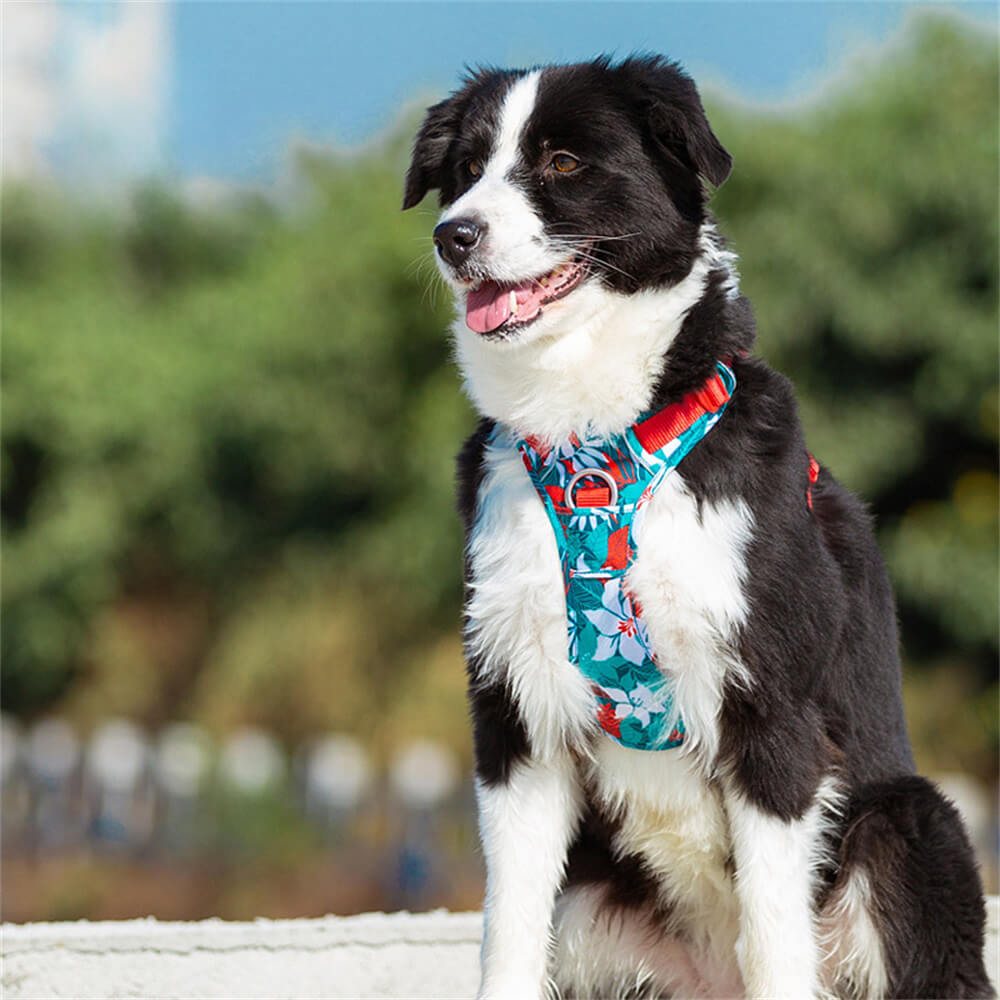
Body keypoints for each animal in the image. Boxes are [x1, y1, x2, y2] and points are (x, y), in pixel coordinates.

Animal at [400, 56, 992, 1000]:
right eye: (463, 170)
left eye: (562, 162)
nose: (454, 236)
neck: (594, 443)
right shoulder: (515, 719)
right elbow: (508, 932)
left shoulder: (774, 717)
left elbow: (779, 939)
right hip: (595, 899)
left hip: (907, 821)